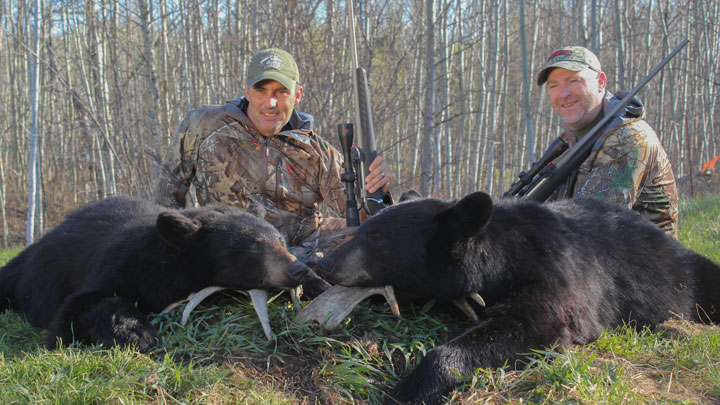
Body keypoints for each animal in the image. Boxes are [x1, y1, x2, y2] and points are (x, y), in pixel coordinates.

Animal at [0, 196, 330, 350]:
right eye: (255, 246)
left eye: (280, 240)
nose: (297, 269)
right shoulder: (123, 264)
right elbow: (81, 307)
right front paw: (140, 334)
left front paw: (320, 283)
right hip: (23, 273)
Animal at [312, 192, 720, 404]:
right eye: (360, 231)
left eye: (375, 237)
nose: (324, 263)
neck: (499, 258)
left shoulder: (555, 273)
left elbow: (536, 325)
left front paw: (408, 389)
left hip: (689, 273)